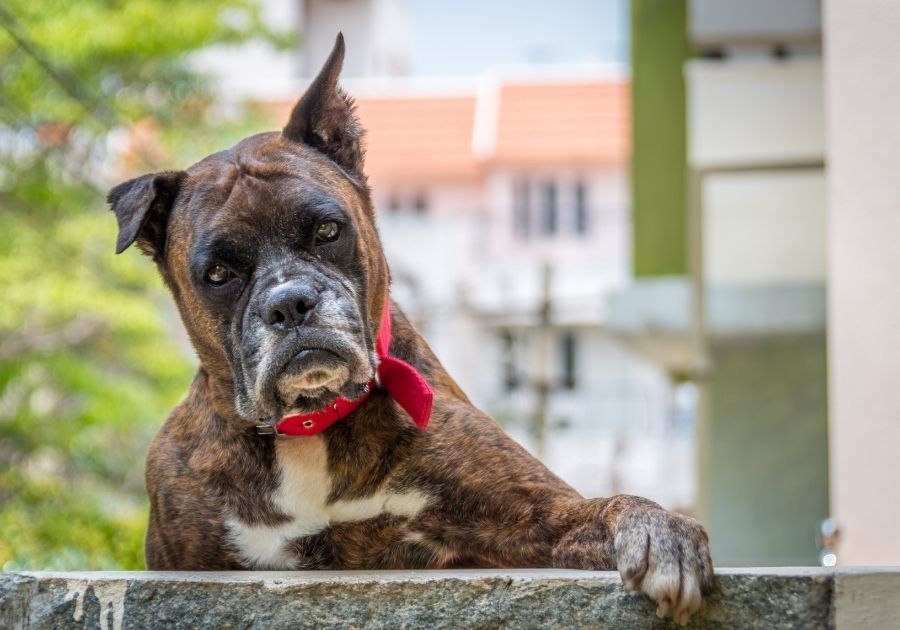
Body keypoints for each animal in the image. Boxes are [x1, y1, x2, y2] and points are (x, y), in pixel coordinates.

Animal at [109, 34, 712, 628]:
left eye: (327, 230)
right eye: (218, 274)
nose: (290, 304)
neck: (311, 426)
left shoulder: (540, 512)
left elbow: (609, 505)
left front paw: (662, 533)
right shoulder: (182, 552)